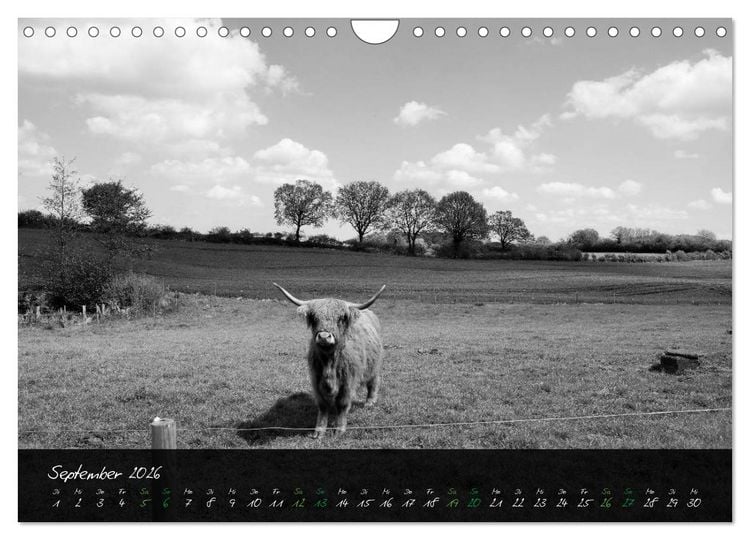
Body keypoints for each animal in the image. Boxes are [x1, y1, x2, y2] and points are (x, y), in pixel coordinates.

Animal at [273, 283, 386, 438]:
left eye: (341, 318)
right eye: (314, 318)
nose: (324, 337)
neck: (329, 363)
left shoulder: (348, 382)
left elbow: (342, 404)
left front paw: (339, 429)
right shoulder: (316, 379)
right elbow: (323, 406)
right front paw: (319, 431)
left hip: (375, 366)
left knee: (373, 382)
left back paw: (370, 402)